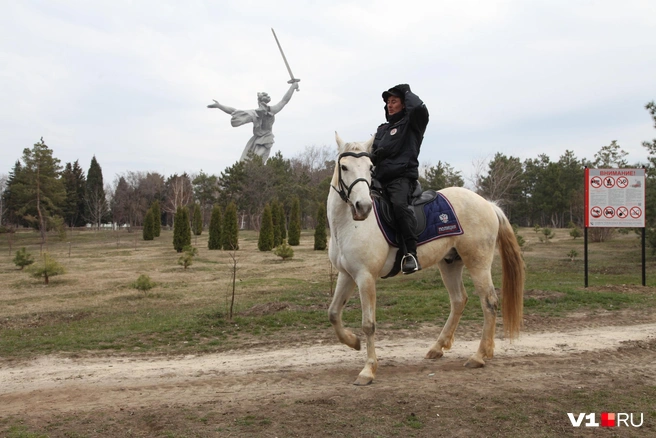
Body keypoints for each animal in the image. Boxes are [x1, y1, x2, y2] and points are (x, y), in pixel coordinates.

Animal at [330, 133, 524, 384]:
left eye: (370, 168)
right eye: (344, 167)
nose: (363, 207)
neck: (346, 225)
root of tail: (488, 204)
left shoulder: (365, 277)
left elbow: (368, 324)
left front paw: (368, 370)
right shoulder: (346, 275)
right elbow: (334, 313)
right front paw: (353, 341)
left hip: (478, 262)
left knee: (489, 301)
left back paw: (480, 356)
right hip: (450, 263)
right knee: (459, 300)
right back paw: (438, 347)